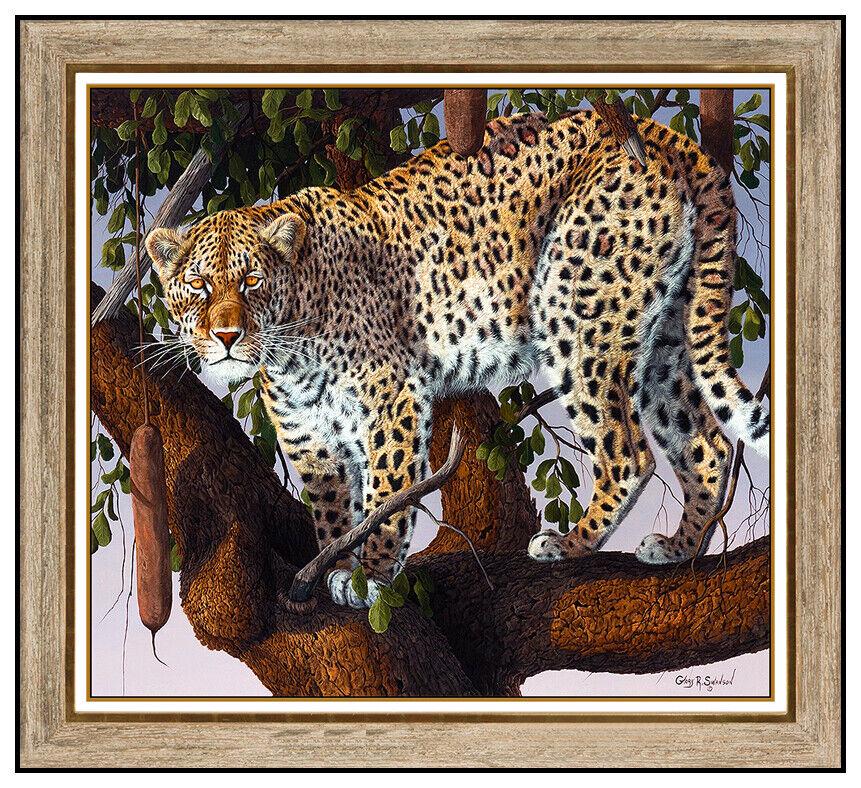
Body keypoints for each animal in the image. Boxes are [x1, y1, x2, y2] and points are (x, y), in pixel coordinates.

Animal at [146, 109, 770, 609]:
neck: (289, 346)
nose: (226, 336)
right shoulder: (310, 440)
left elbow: (386, 496)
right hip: (666, 337)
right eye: (198, 286)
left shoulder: (391, 398)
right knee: (704, 442)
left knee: (629, 452)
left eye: (250, 282)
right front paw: (336, 566)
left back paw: (568, 544)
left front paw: (371, 577)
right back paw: (680, 548)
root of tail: (654, 130)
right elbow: (331, 512)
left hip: (576, 312)